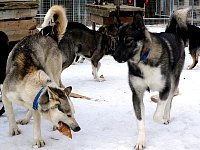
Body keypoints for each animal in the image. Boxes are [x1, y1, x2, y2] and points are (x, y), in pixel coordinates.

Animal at [1, 4, 80, 148]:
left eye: (73, 113)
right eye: (68, 115)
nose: (78, 128)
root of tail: (50, 37)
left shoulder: (35, 105)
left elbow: (37, 124)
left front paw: (38, 140)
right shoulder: (5, 95)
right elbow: (10, 114)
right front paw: (14, 129)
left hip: (52, 72)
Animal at [112, 8, 189, 149]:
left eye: (128, 40)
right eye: (117, 39)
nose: (114, 55)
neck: (143, 59)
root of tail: (171, 32)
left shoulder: (165, 89)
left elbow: (156, 115)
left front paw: (161, 120)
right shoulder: (136, 95)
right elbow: (140, 121)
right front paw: (140, 141)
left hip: (174, 80)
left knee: (170, 100)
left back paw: (166, 117)